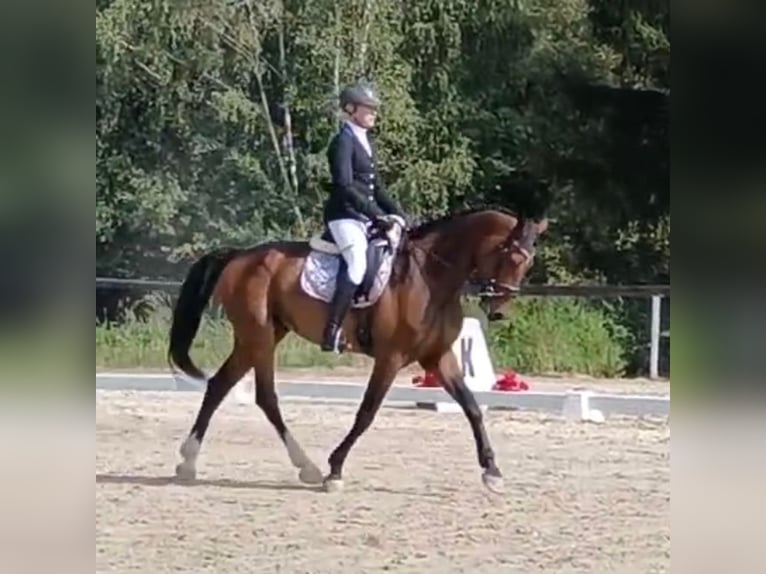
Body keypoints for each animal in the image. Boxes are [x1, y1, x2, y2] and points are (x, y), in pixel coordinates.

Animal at [166, 209, 544, 498]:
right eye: (512, 257)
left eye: (529, 262)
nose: (499, 311)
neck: (431, 277)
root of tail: (239, 256)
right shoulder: (391, 357)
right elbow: (366, 413)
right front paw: (335, 470)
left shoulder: (438, 357)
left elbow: (472, 408)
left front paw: (492, 472)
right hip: (258, 337)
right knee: (264, 396)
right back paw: (308, 467)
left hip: (260, 337)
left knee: (220, 385)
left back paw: (188, 463)